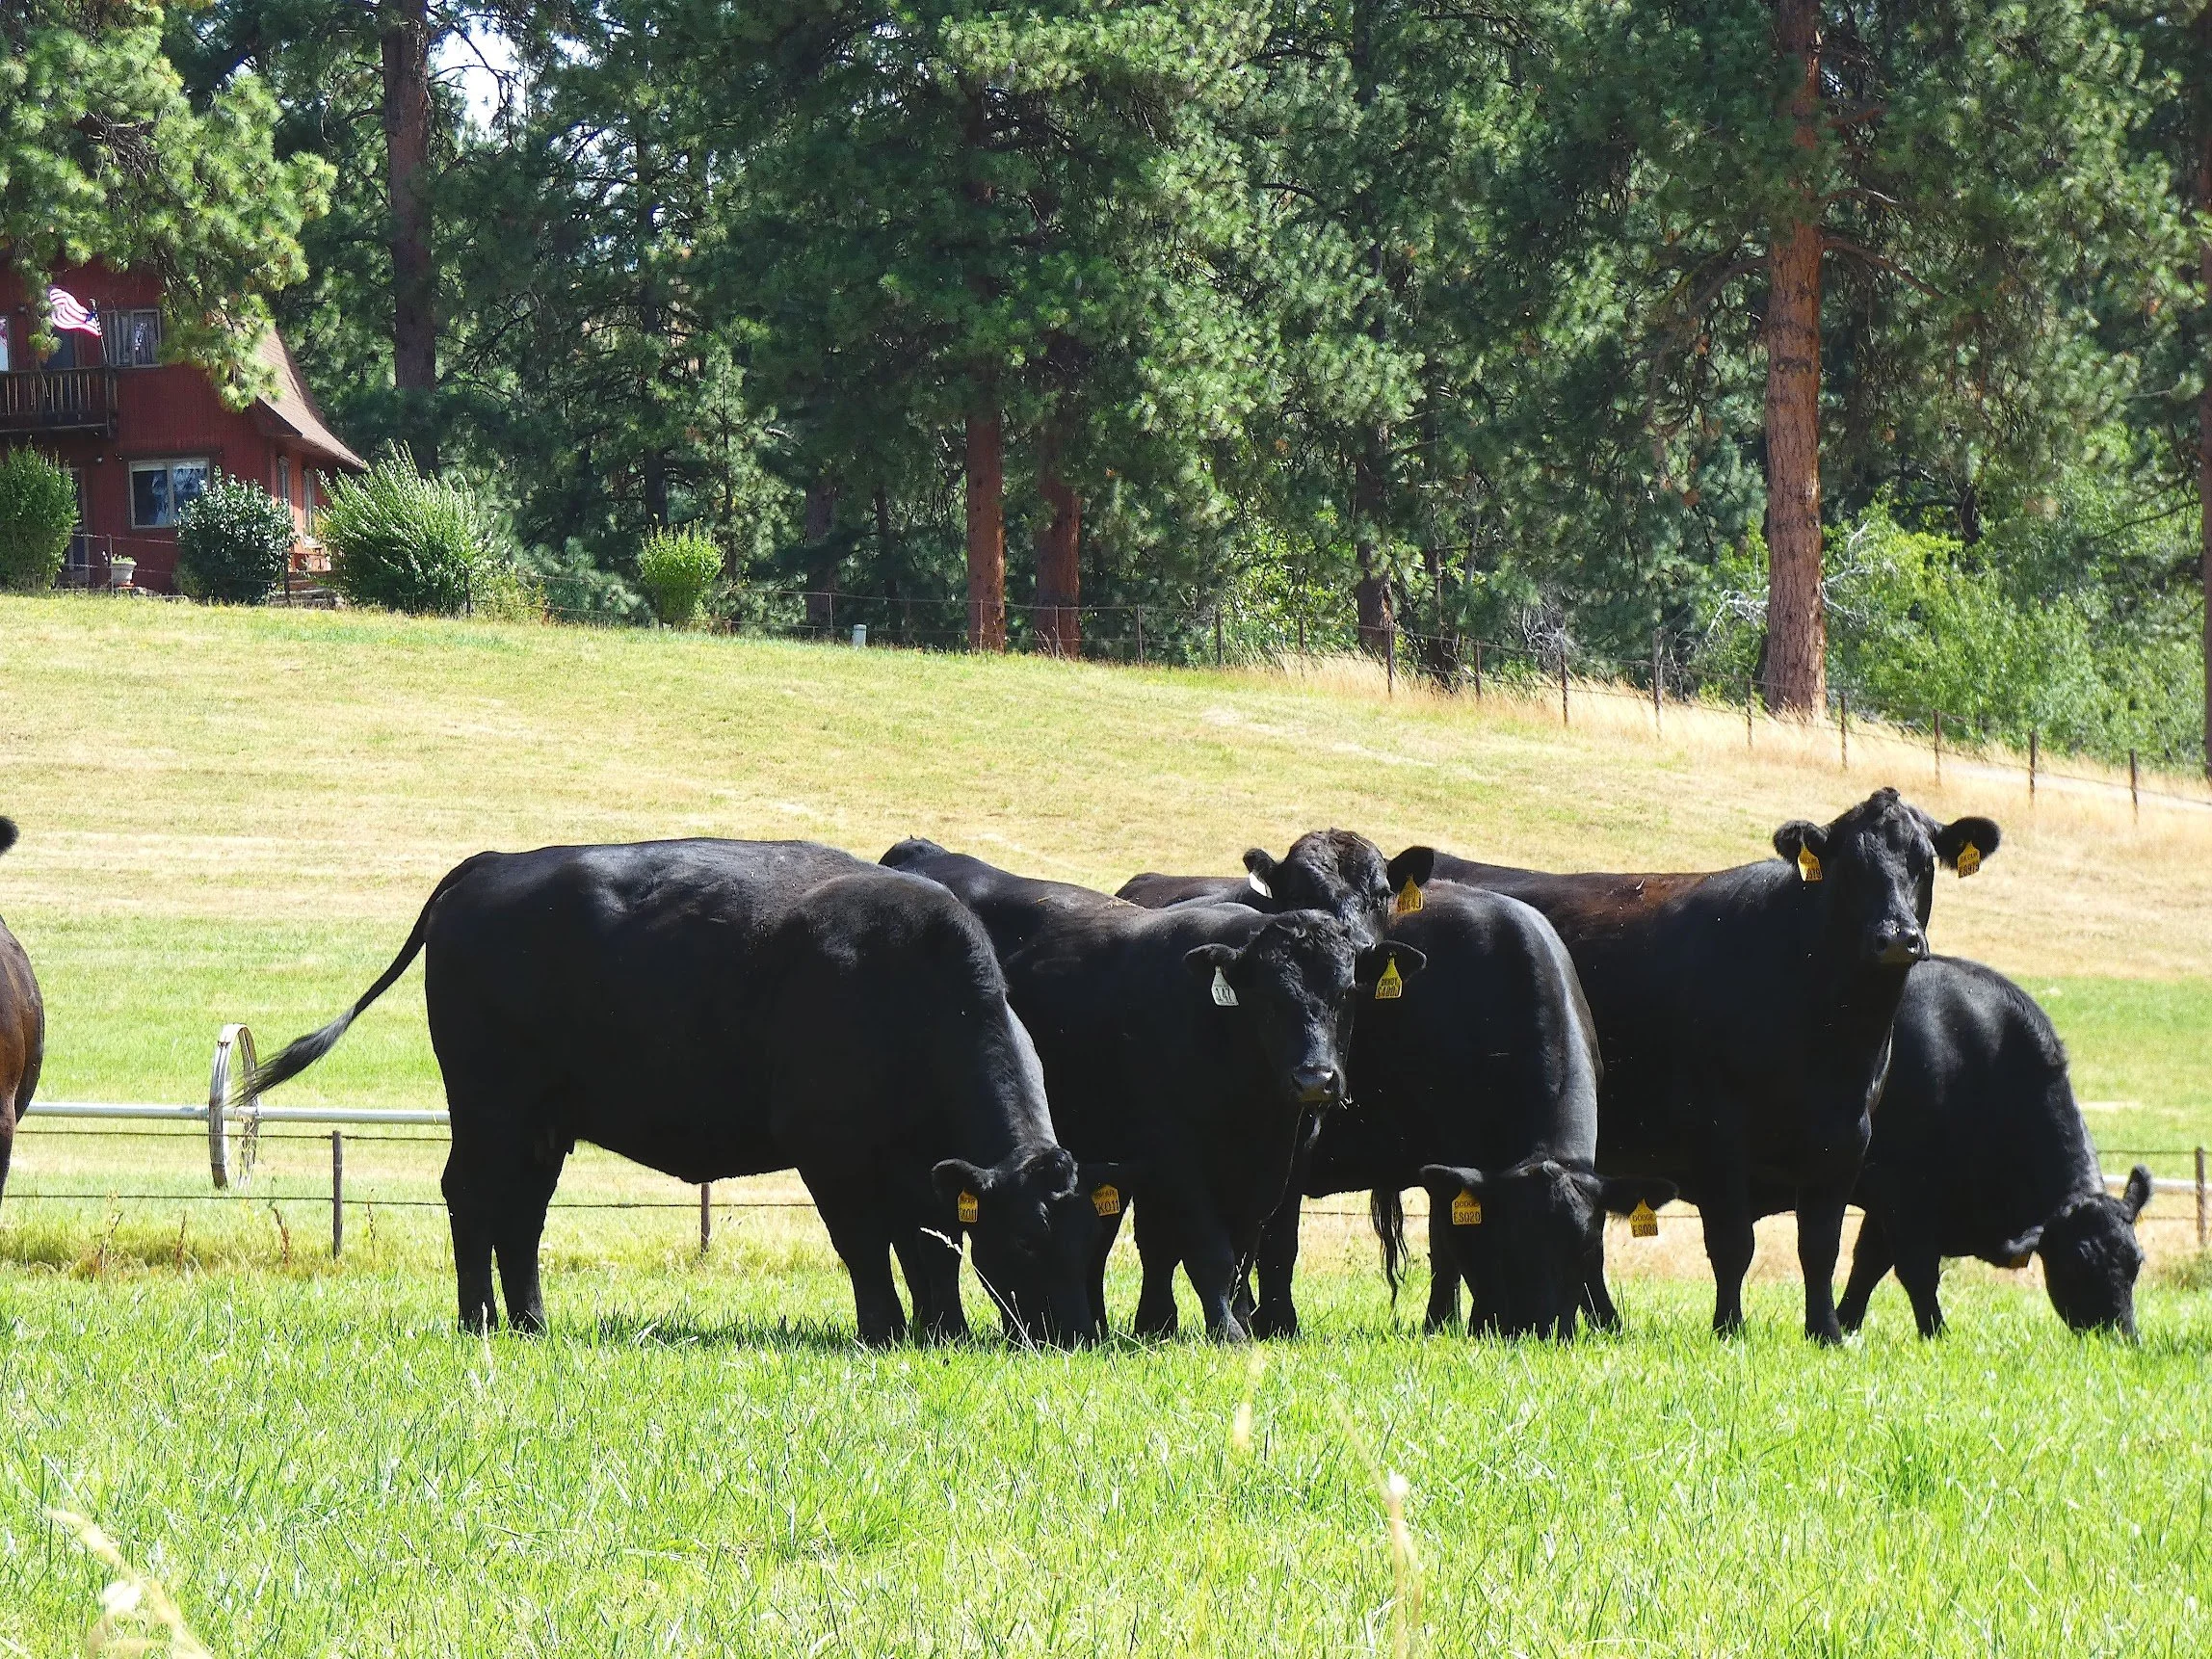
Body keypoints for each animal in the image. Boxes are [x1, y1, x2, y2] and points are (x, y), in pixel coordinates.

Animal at [245, 839, 1113, 1346]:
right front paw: (885, 1332)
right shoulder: (829, 1150)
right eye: (1027, 1243)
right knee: (470, 1195)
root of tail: (490, 863)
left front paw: (944, 1333)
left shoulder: (918, 1165)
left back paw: (530, 1321)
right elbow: (867, 1246)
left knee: (521, 1212)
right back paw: (478, 1320)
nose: (1076, 1337)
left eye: (1095, 1243)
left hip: (542, 1120)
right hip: (491, 1103)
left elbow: (931, 1245)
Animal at [881, 838, 1423, 1340]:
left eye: (1347, 994)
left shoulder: (1277, 1163)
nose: (1315, 1078)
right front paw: (1226, 1333)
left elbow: (1248, 1250)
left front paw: (1238, 1322)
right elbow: (1209, 1251)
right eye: (1267, 999)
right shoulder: (1173, 1154)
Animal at [1238, 884, 1674, 1338]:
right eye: (1511, 1241)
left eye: (1585, 1247)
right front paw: (1461, 1321)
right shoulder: (1450, 1148)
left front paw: (1608, 1322)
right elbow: (1449, 1238)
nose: (1542, 1329)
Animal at [1431, 788, 2001, 1342]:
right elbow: (1733, 1244)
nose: (1897, 938)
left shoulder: (1846, 1139)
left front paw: (1826, 1332)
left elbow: (1821, 1245)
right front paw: (1729, 1328)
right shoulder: (1717, 1133)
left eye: (1924, 863)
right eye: (1850, 867)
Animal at [1839, 956, 2153, 1338]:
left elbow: (1867, 1264)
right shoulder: (1902, 1191)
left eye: (2136, 1262)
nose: (2120, 1339)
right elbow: (1915, 1271)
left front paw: (1841, 1328)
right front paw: (1936, 1335)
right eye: (2076, 1265)